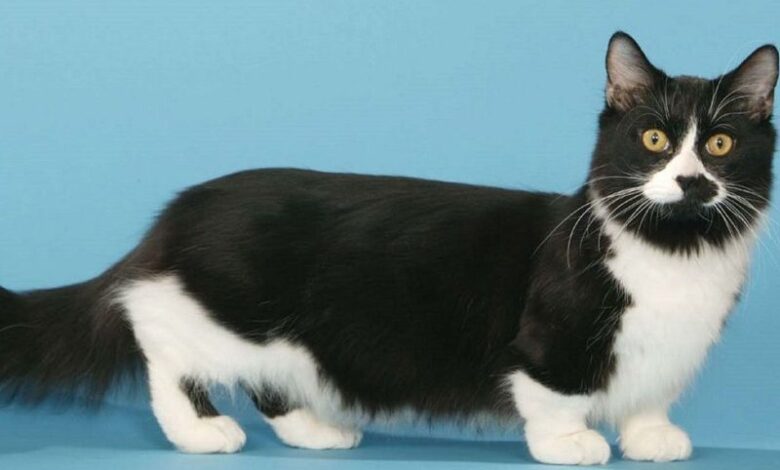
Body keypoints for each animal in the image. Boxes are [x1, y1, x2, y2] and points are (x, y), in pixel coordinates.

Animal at [0, 31, 777, 465]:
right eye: (654, 139)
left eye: (719, 145)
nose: (690, 180)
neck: (675, 254)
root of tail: (176, 215)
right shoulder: (550, 337)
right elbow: (556, 394)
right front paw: (569, 445)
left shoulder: (669, 349)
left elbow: (651, 395)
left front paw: (650, 436)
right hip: (221, 308)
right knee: (159, 342)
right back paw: (201, 432)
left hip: (288, 335)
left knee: (269, 382)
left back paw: (317, 430)